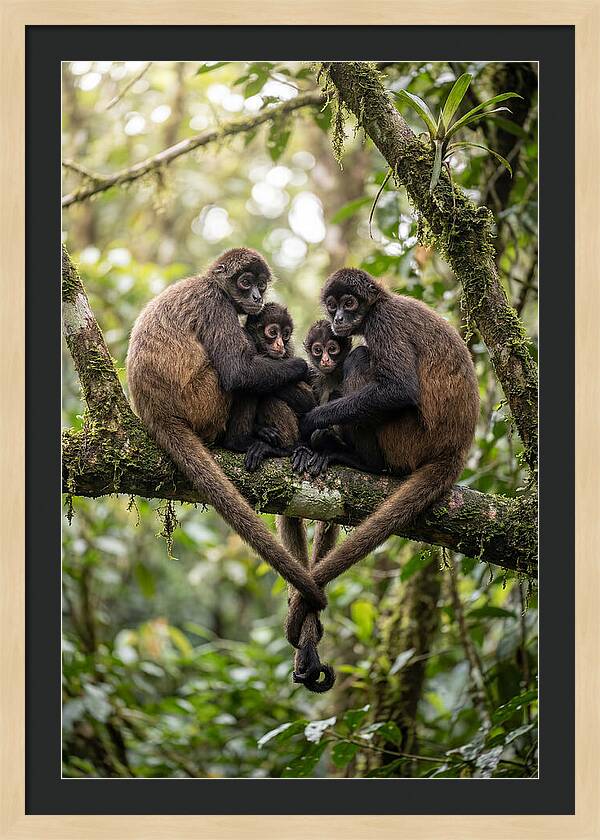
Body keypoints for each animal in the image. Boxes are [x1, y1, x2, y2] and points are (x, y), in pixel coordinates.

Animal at [126, 247, 326, 613]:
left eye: (261, 284)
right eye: (246, 282)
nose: (257, 297)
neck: (210, 284)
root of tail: (155, 411)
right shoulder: (215, 304)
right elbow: (237, 371)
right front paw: (301, 367)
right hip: (203, 401)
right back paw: (241, 441)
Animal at [285, 266, 479, 649]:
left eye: (349, 303)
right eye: (332, 305)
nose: (339, 319)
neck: (382, 303)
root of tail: (455, 449)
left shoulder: (383, 322)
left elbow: (399, 389)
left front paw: (313, 424)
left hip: (408, 438)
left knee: (361, 357)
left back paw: (359, 460)